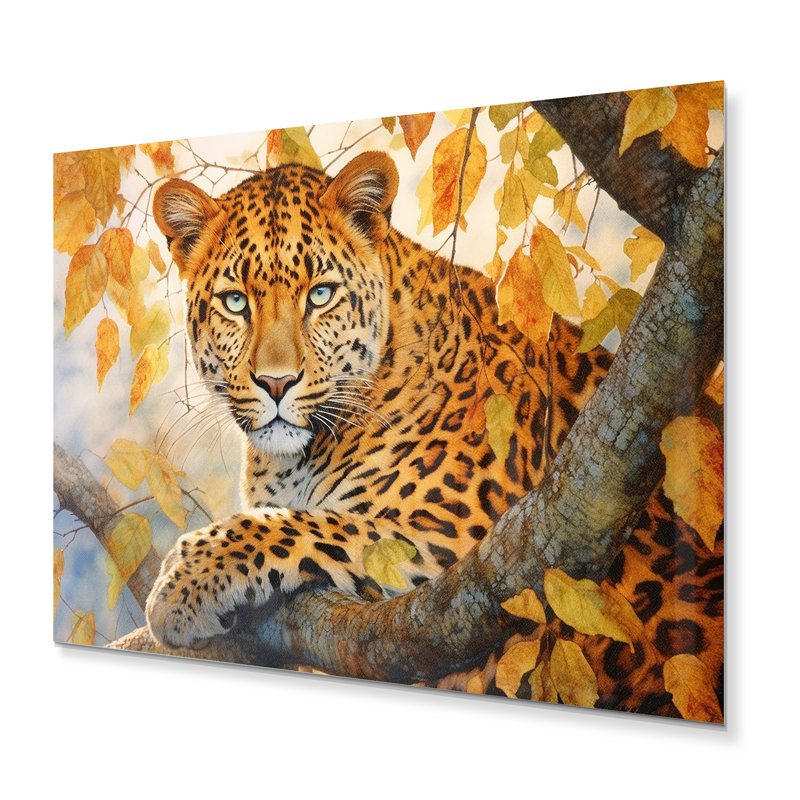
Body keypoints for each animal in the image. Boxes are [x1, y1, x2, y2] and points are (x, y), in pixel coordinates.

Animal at [147, 151, 723, 714]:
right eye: (235, 302)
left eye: (321, 295)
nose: (275, 382)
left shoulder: (459, 538)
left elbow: (300, 525)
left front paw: (179, 584)